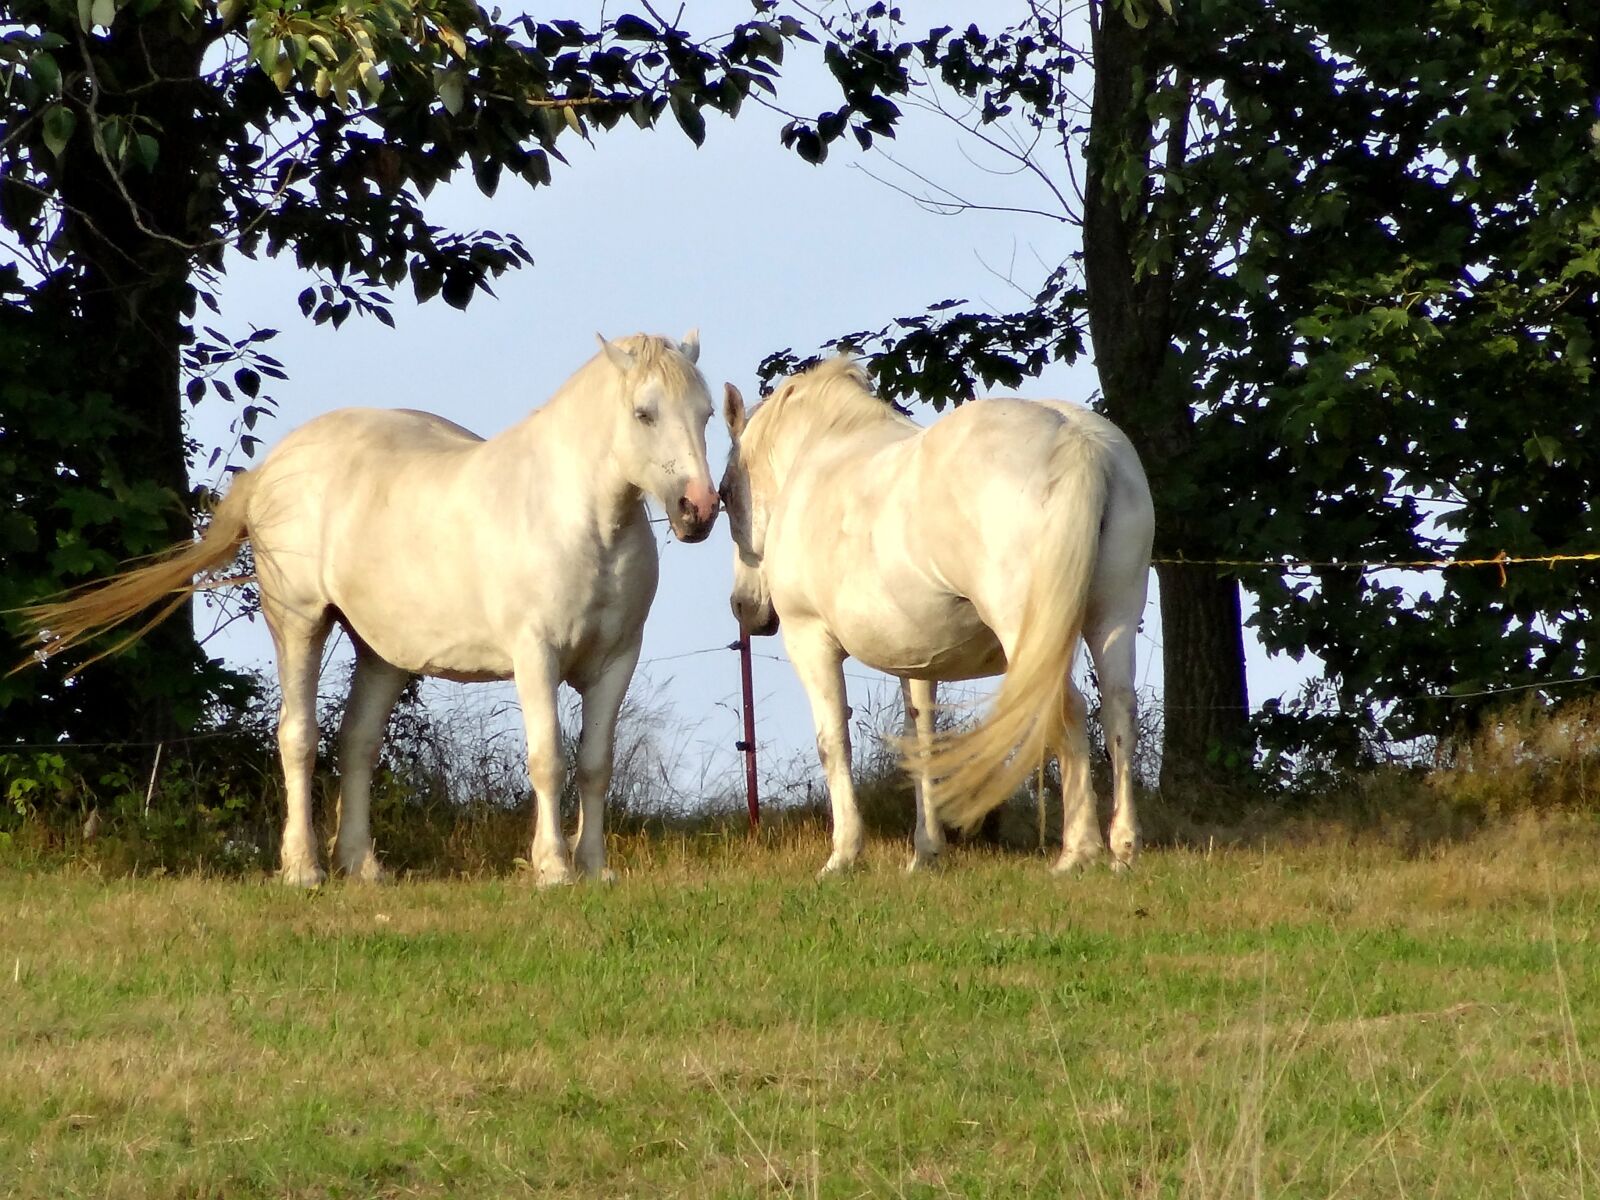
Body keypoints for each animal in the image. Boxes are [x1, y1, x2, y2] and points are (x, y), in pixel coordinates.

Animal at [23, 332, 719, 887]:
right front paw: (553, 869)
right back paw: (303, 868)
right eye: (644, 413)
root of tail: (274, 466)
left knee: (356, 744)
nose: (699, 509)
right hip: (298, 623)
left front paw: (595, 869)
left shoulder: (615, 662)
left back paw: (361, 865)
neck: (580, 518)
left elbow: (595, 765)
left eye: (707, 413)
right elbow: (548, 759)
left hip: (381, 653)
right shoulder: (535, 656)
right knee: (299, 738)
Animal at [719, 357, 1153, 875]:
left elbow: (832, 742)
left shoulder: (811, 641)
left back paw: (1077, 852)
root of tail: (1076, 439)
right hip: (1114, 618)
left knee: (1066, 711)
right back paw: (1123, 849)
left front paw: (843, 855)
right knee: (1118, 710)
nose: (743, 608)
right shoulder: (918, 660)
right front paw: (924, 852)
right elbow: (921, 741)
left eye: (725, 494)